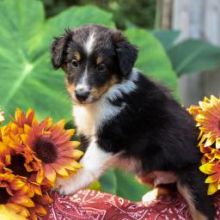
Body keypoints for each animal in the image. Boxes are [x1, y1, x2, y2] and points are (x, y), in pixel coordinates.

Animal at [51, 24, 215, 219]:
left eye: (101, 67)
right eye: (74, 63)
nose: (81, 95)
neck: (105, 96)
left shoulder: (110, 137)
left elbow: (87, 164)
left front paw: (68, 184)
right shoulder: (86, 135)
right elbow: (79, 159)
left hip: (193, 182)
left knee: (203, 210)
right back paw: (152, 196)